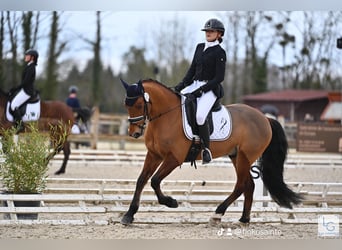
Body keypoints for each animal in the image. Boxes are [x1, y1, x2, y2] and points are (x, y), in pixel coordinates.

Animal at [119, 79, 302, 226]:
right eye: (126, 105)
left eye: (139, 105)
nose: (134, 133)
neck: (166, 116)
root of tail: (265, 118)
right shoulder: (154, 155)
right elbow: (141, 180)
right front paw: (129, 215)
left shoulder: (174, 158)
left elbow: (155, 180)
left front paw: (171, 202)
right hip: (236, 156)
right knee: (248, 185)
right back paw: (243, 219)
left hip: (245, 157)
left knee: (241, 185)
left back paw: (217, 214)